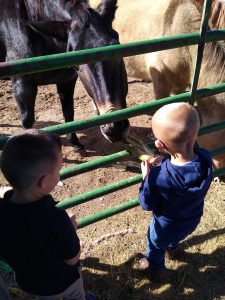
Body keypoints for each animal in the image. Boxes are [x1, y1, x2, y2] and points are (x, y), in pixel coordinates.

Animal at [0, 0, 129, 150]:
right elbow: (27, 121)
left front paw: (75, 142)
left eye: (117, 47)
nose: (114, 128)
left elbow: (68, 112)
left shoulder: (66, 80)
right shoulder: (22, 84)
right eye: (76, 64)